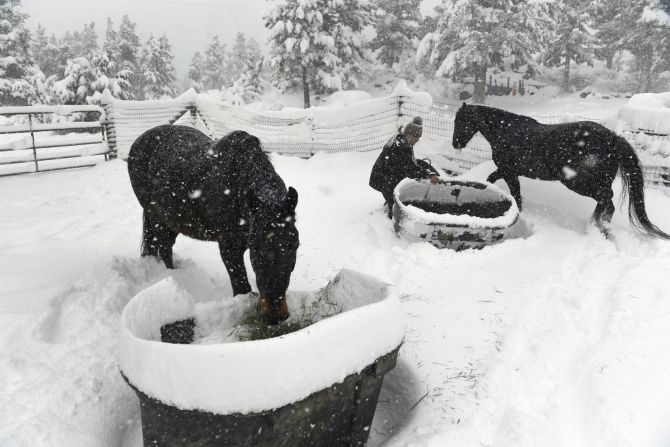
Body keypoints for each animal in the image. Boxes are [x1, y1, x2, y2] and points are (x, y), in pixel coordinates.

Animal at [129, 126, 302, 326]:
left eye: (294, 245)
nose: (274, 315)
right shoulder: (229, 248)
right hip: (157, 218)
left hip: (172, 222)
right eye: (255, 246)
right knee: (162, 247)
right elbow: (241, 287)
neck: (236, 189)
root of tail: (140, 140)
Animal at [454, 103, 668, 240]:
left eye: (462, 121)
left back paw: (594, 226)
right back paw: (602, 227)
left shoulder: (509, 171)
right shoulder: (507, 170)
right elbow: (493, 180)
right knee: (609, 204)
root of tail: (614, 139)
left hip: (577, 182)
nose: (455, 143)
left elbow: (514, 192)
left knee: (605, 197)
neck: (506, 131)